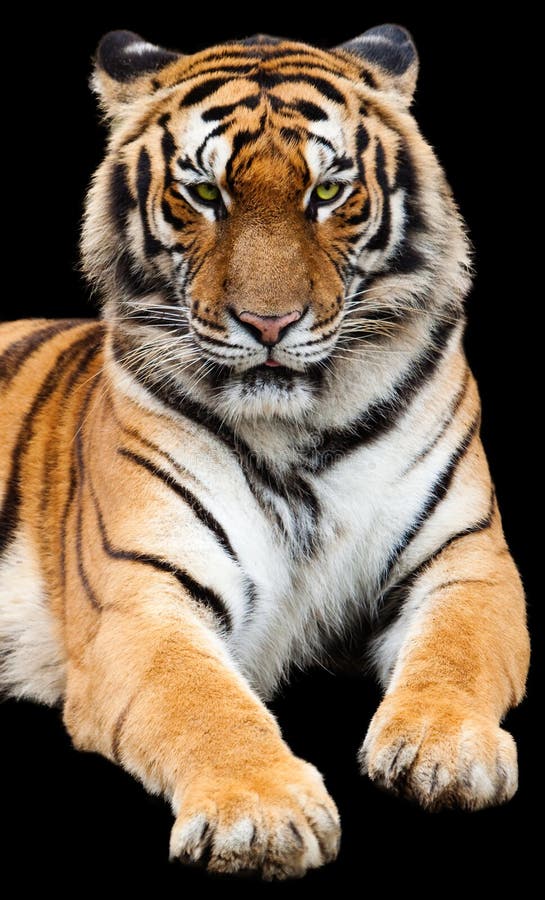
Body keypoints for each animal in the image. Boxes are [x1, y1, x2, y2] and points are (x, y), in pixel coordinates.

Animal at [0, 26, 528, 880]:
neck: (298, 430)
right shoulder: (142, 598)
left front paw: (445, 751)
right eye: (204, 194)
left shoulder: (465, 558)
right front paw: (259, 814)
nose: (269, 322)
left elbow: (457, 653)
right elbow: (201, 701)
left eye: (328, 192)